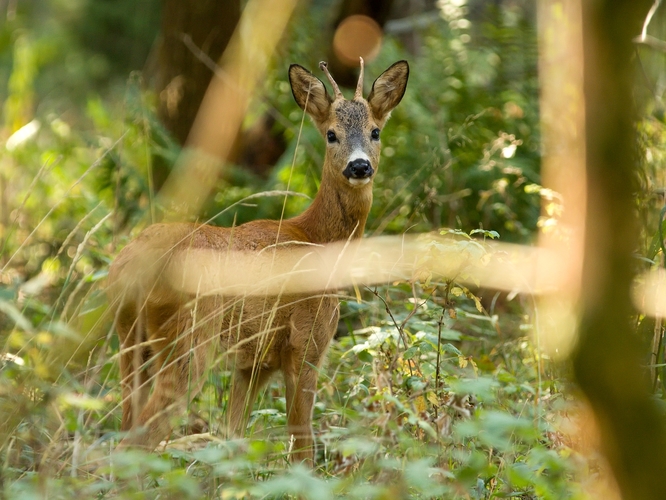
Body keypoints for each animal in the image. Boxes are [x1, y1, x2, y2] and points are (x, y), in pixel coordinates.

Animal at [106, 58, 408, 464]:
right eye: (331, 134)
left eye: (375, 131)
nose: (359, 167)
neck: (315, 237)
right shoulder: (306, 343)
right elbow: (302, 447)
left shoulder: (254, 363)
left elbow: (232, 438)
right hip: (188, 340)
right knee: (136, 440)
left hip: (131, 341)